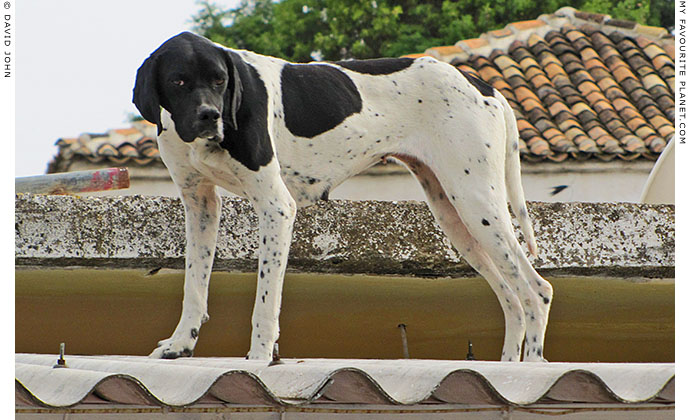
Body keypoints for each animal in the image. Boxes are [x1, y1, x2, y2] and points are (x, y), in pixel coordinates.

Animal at [133, 32, 548, 360]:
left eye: (219, 80)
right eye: (179, 81)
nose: (210, 116)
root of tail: (484, 86)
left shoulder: (276, 207)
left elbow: (265, 299)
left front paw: (259, 358)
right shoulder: (200, 204)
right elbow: (194, 286)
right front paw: (180, 345)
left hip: (477, 204)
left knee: (536, 291)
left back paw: (531, 366)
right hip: (456, 220)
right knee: (512, 299)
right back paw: (508, 367)